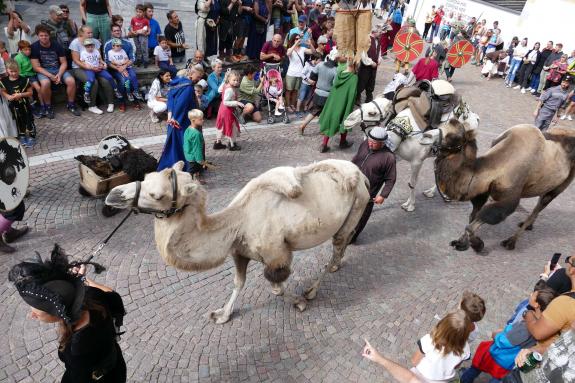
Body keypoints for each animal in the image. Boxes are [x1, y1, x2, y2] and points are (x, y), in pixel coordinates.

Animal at [106, 159, 372, 324]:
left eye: (156, 195)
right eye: (146, 176)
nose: (113, 195)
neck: (236, 222)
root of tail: (362, 175)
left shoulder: (276, 255)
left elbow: (276, 288)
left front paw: (299, 302)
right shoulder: (239, 252)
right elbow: (238, 283)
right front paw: (222, 315)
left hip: (357, 203)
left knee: (337, 246)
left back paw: (312, 290)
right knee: (341, 247)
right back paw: (335, 268)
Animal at [344, 89, 480, 212]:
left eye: (372, 113)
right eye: (363, 105)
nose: (347, 120)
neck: (403, 130)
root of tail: (475, 117)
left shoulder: (417, 161)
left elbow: (411, 183)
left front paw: (409, 206)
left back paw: (447, 195)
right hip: (444, 152)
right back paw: (431, 192)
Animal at [436, 120, 575, 252]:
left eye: (453, 136)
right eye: (441, 124)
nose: (430, 136)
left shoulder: (509, 198)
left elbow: (480, 219)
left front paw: (476, 245)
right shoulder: (483, 191)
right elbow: (473, 216)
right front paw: (464, 243)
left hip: (562, 184)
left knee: (542, 203)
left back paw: (511, 242)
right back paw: (527, 226)